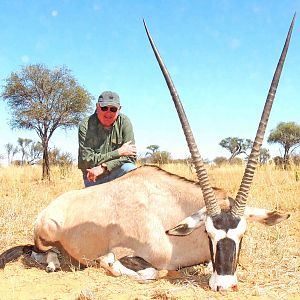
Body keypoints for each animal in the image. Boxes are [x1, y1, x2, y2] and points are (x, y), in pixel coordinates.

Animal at [0, 15, 296, 292]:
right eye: (209, 233)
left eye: (241, 234)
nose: (224, 285)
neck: (170, 215)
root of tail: (49, 208)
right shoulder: (127, 253)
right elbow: (148, 270)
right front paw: (111, 265)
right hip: (45, 236)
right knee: (39, 252)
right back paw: (53, 262)